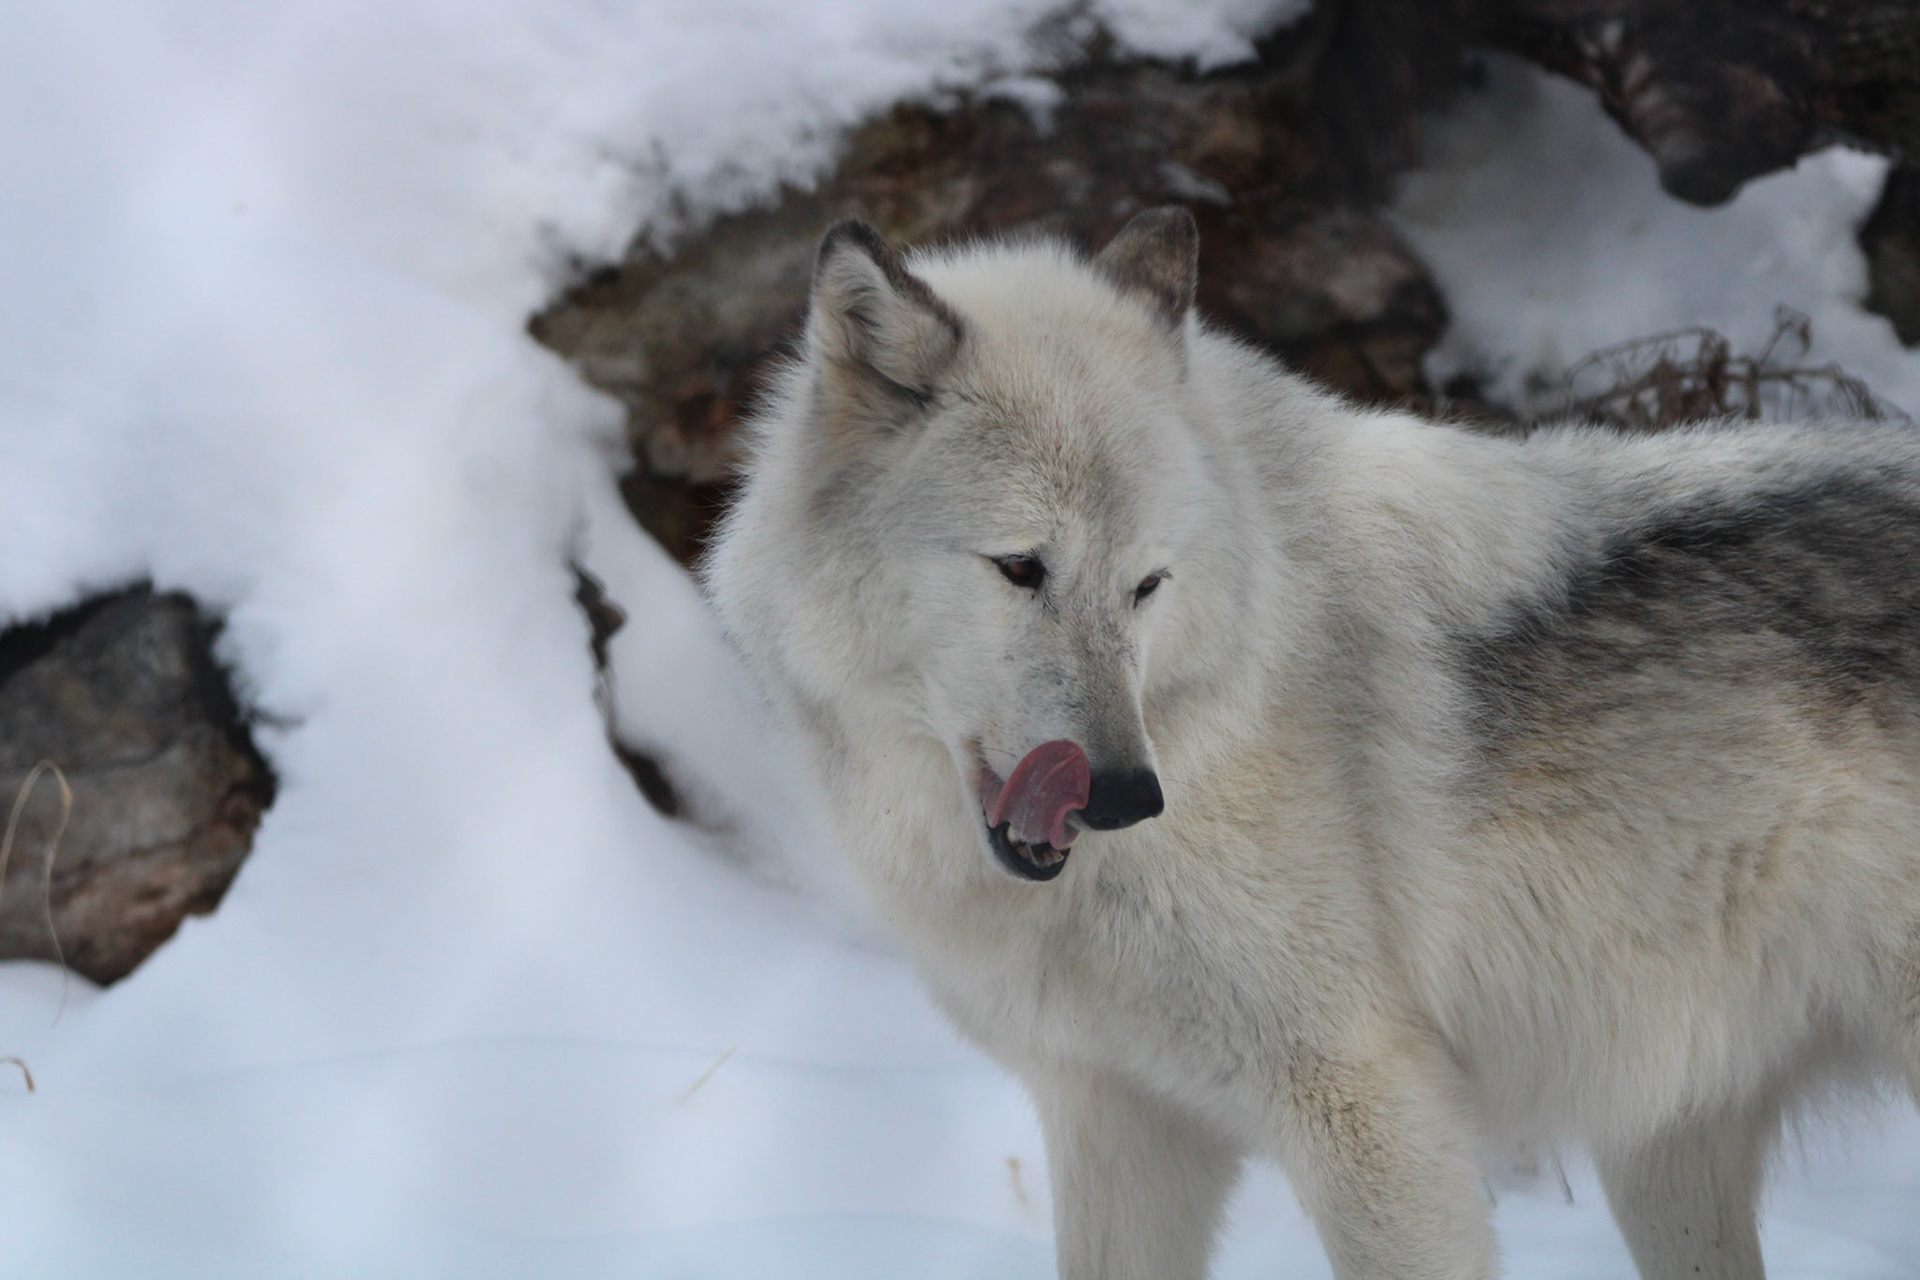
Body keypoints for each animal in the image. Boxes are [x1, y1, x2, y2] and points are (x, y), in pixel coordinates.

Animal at [703, 206, 1920, 1279]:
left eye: (1147, 584)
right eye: (1019, 567)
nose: (1125, 793)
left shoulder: (1375, 1118)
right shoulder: (1118, 1120)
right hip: (1664, 1156)